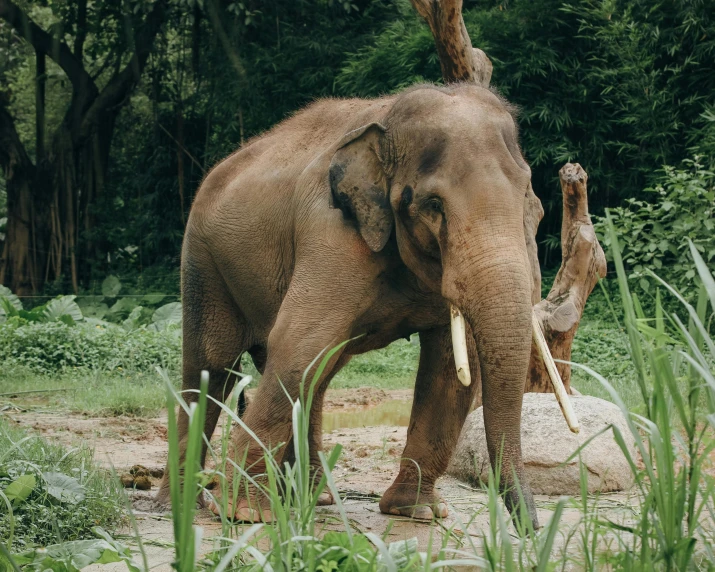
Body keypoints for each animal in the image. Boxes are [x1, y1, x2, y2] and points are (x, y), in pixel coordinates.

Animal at [159, 82, 544, 528]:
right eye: (433, 205)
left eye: (530, 201)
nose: (533, 529)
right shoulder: (331, 232)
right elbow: (296, 343)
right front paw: (246, 514)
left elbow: (449, 371)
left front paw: (418, 512)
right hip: (202, 261)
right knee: (212, 368)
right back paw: (179, 505)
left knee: (315, 374)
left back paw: (310, 497)